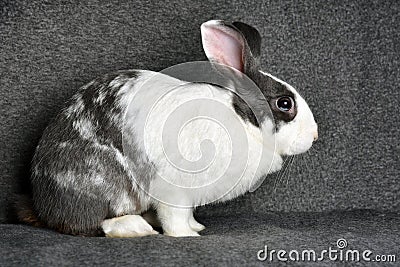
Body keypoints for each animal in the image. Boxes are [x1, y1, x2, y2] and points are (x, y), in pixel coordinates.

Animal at [17, 21, 318, 239]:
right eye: (285, 103)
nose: (314, 136)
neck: (241, 119)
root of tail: (42, 205)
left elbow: (188, 214)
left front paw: (196, 227)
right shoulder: (174, 190)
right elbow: (175, 217)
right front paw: (186, 236)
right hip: (99, 182)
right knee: (88, 224)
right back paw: (136, 228)